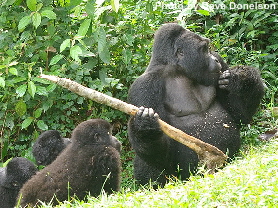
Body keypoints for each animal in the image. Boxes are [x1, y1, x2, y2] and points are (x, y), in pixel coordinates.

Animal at [127, 23, 264, 187]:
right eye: (204, 49)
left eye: (209, 49)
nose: (215, 59)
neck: (178, 71)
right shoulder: (143, 87)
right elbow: (161, 150)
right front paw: (145, 126)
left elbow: (240, 115)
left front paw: (243, 78)